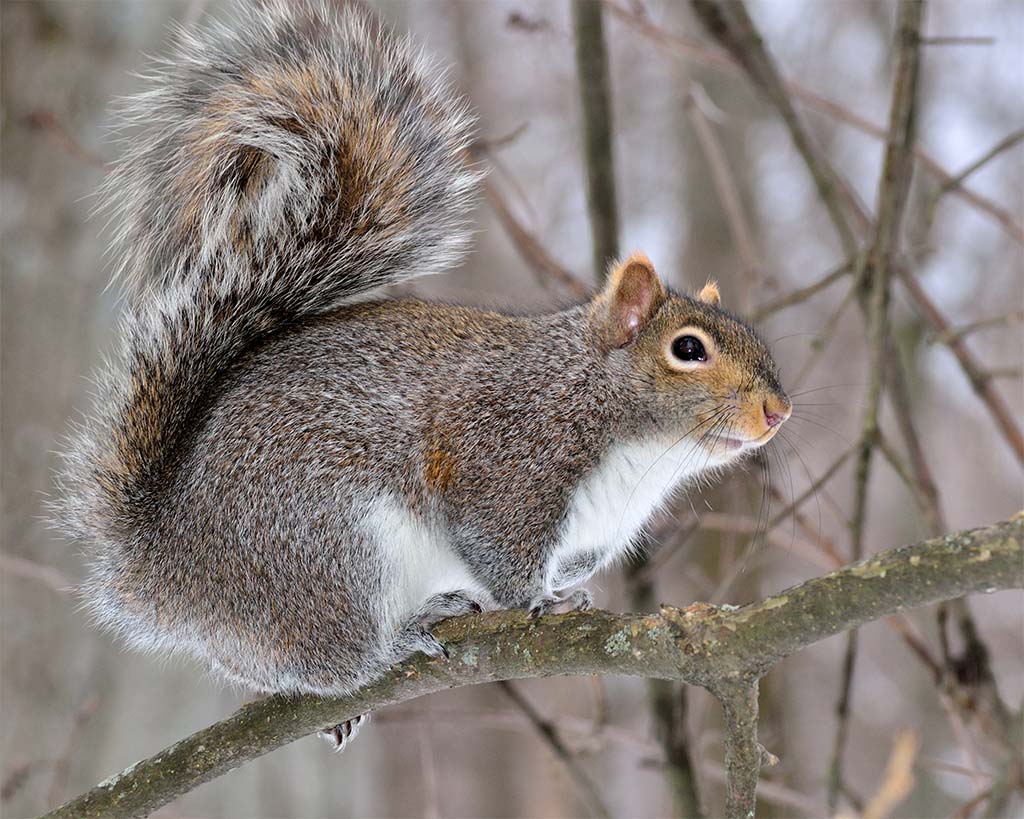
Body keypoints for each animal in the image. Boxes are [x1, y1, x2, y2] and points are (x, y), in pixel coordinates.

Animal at [56, 0, 790, 749]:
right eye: (688, 349)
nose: (777, 411)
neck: (631, 441)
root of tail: (167, 565)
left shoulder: (594, 533)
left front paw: (566, 591)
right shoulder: (505, 458)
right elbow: (499, 551)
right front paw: (544, 601)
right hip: (330, 544)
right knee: (331, 656)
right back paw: (395, 642)